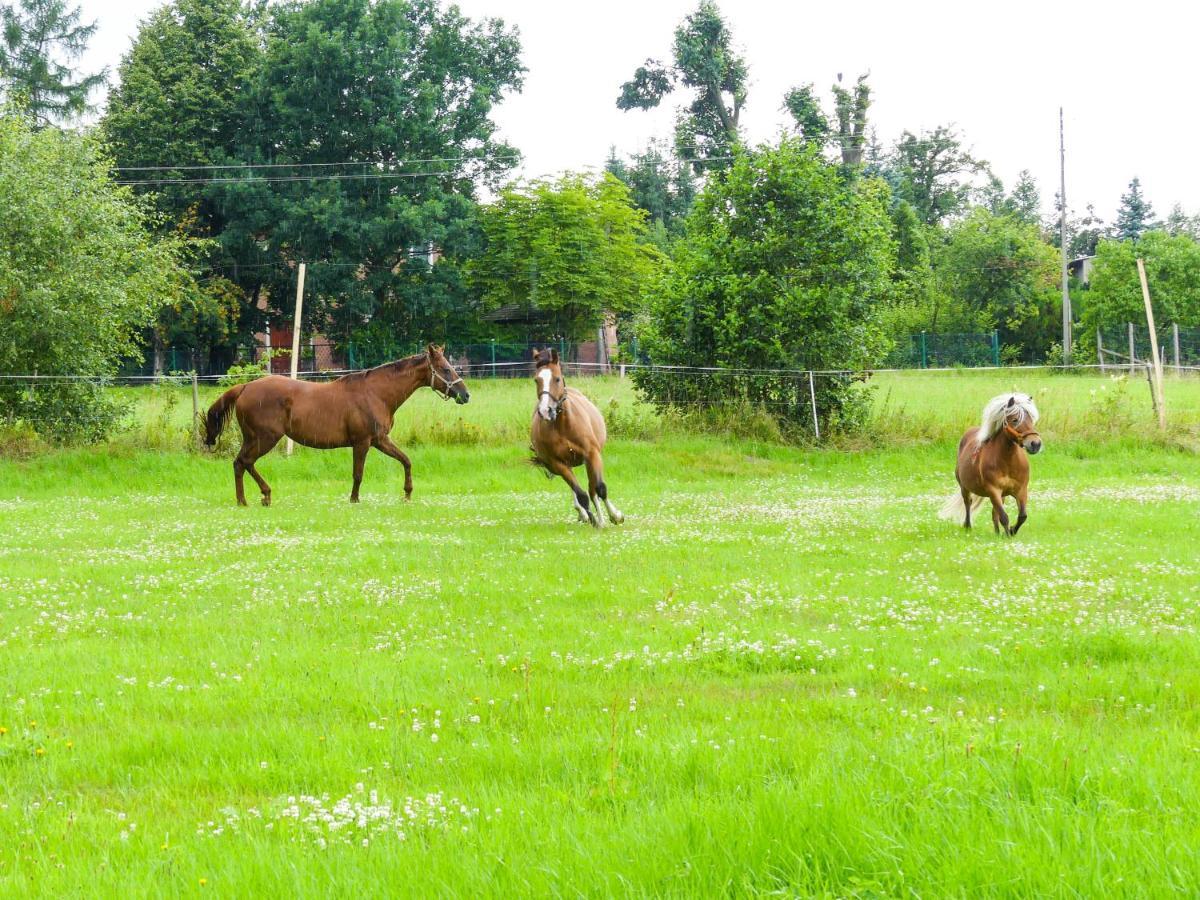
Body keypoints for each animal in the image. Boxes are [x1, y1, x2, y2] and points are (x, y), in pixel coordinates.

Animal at [201, 345, 468, 508]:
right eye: (445, 369)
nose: (465, 395)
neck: (376, 393)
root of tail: (245, 387)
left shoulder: (380, 440)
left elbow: (406, 460)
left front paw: (407, 493)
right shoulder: (362, 442)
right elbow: (358, 473)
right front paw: (354, 499)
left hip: (253, 439)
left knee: (240, 463)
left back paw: (246, 499)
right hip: (265, 438)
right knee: (244, 462)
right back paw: (260, 496)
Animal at [528, 345, 624, 528]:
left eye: (557, 379)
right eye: (536, 380)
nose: (545, 411)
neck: (563, 425)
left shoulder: (592, 454)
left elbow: (600, 488)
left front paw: (615, 516)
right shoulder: (557, 464)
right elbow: (581, 495)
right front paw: (594, 520)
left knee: (593, 488)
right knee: (581, 491)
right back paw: (586, 515)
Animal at [936, 393, 1041, 535]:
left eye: (1031, 420)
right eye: (1014, 420)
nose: (1035, 444)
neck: (1008, 462)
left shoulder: (1021, 490)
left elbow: (1022, 516)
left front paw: (1011, 531)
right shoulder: (994, 490)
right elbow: (1004, 517)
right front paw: (1008, 534)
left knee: (994, 513)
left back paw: (996, 533)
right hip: (965, 487)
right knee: (968, 503)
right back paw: (968, 526)